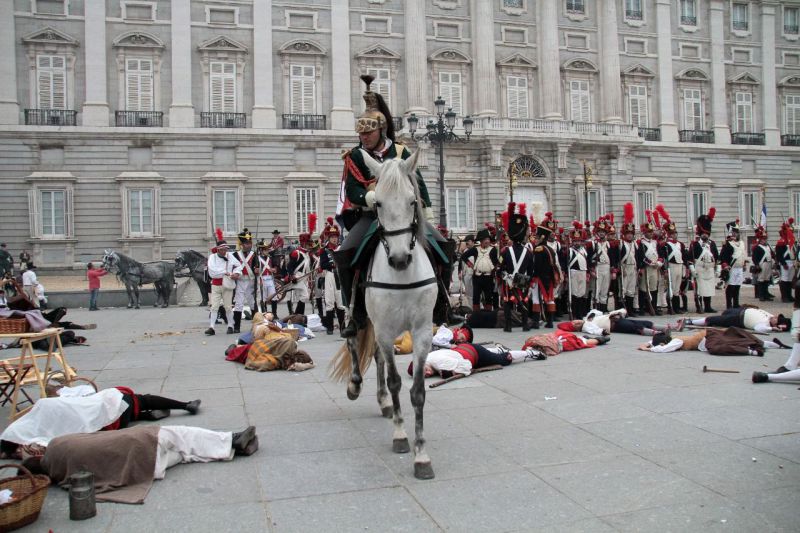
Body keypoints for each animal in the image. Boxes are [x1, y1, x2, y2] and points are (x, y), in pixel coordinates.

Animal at [332, 149, 438, 478]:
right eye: (377, 203)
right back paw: (356, 384)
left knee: (377, 356)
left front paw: (422, 454)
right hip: (357, 313)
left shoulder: (422, 332)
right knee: (354, 340)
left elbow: (417, 391)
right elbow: (394, 382)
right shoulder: (386, 328)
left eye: (413, 201)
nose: (400, 259)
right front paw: (401, 436)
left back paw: (383, 402)